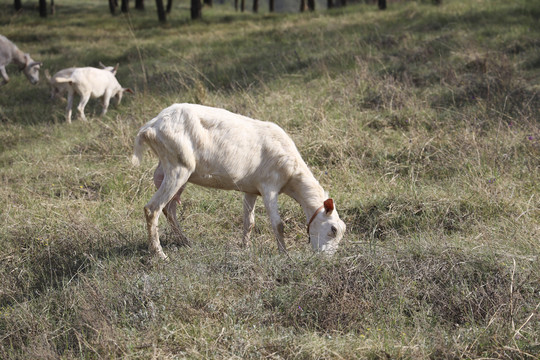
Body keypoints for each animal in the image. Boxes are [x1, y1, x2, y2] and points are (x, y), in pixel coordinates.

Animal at [133, 103, 348, 258]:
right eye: (333, 229)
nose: (325, 259)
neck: (292, 175)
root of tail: (150, 127)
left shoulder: (251, 189)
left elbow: (249, 222)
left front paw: (245, 247)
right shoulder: (269, 186)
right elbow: (278, 224)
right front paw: (284, 254)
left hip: (172, 170)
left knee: (169, 209)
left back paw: (185, 241)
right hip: (178, 167)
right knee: (152, 209)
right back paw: (160, 254)